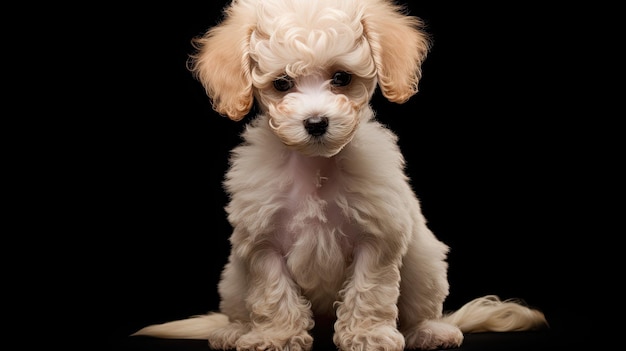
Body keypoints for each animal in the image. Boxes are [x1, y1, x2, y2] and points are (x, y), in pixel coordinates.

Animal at [133, 0, 544, 351]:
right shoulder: (262, 242)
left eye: (341, 78)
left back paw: (430, 331)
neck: (316, 165)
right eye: (282, 84)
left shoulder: (377, 236)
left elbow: (369, 290)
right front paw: (277, 338)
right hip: (233, 278)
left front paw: (368, 336)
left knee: (420, 308)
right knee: (240, 308)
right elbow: (272, 293)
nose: (316, 122)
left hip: (423, 261)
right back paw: (234, 332)